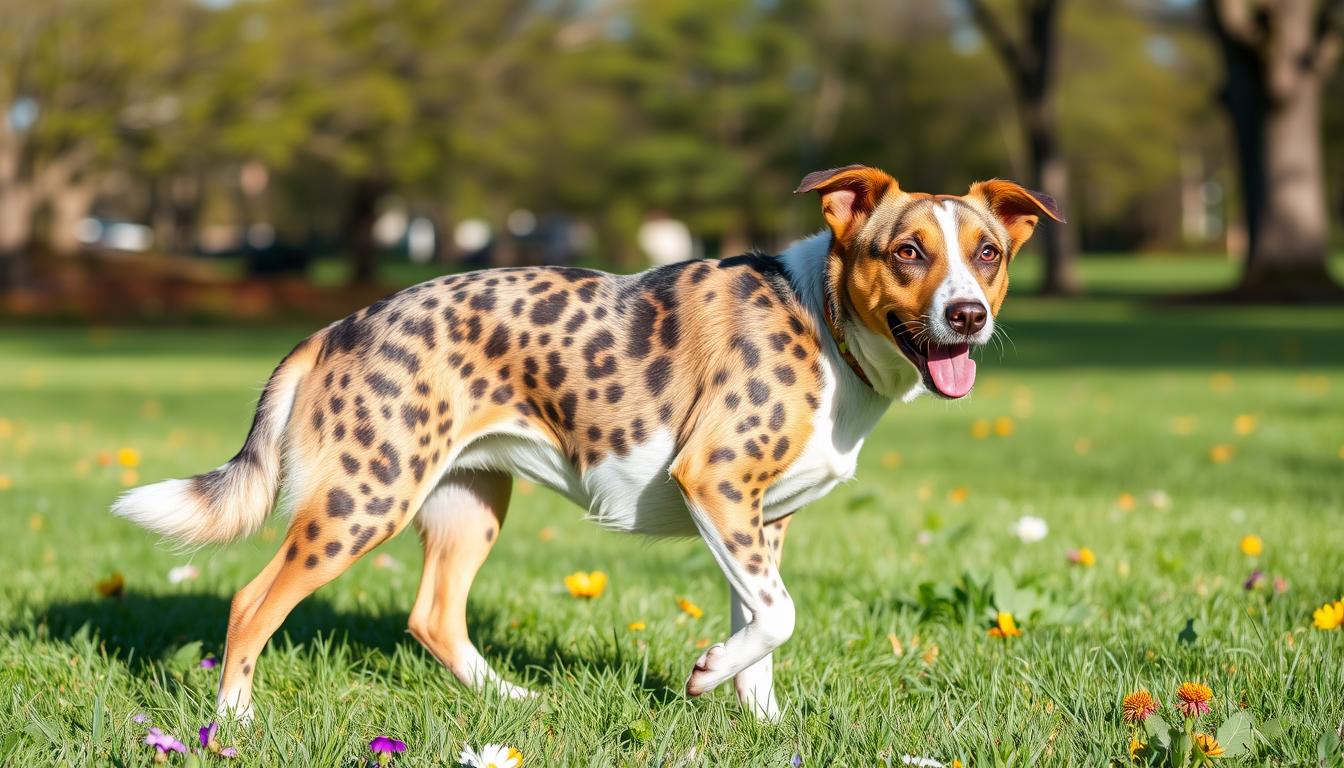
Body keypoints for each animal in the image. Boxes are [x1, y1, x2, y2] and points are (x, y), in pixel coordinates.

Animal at [112, 165, 1059, 726]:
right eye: (906, 252)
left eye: (987, 252)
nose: (968, 315)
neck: (823, 324)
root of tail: (337, 328)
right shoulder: (717, 484)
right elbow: (780, 616)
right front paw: (707, 676)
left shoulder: (758, 523)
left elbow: (761, 630)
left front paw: (761, 723)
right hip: (362, 501)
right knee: (252, 603)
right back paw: (233, 724)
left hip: (468, 503)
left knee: (434, 618)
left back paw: (514, 700)